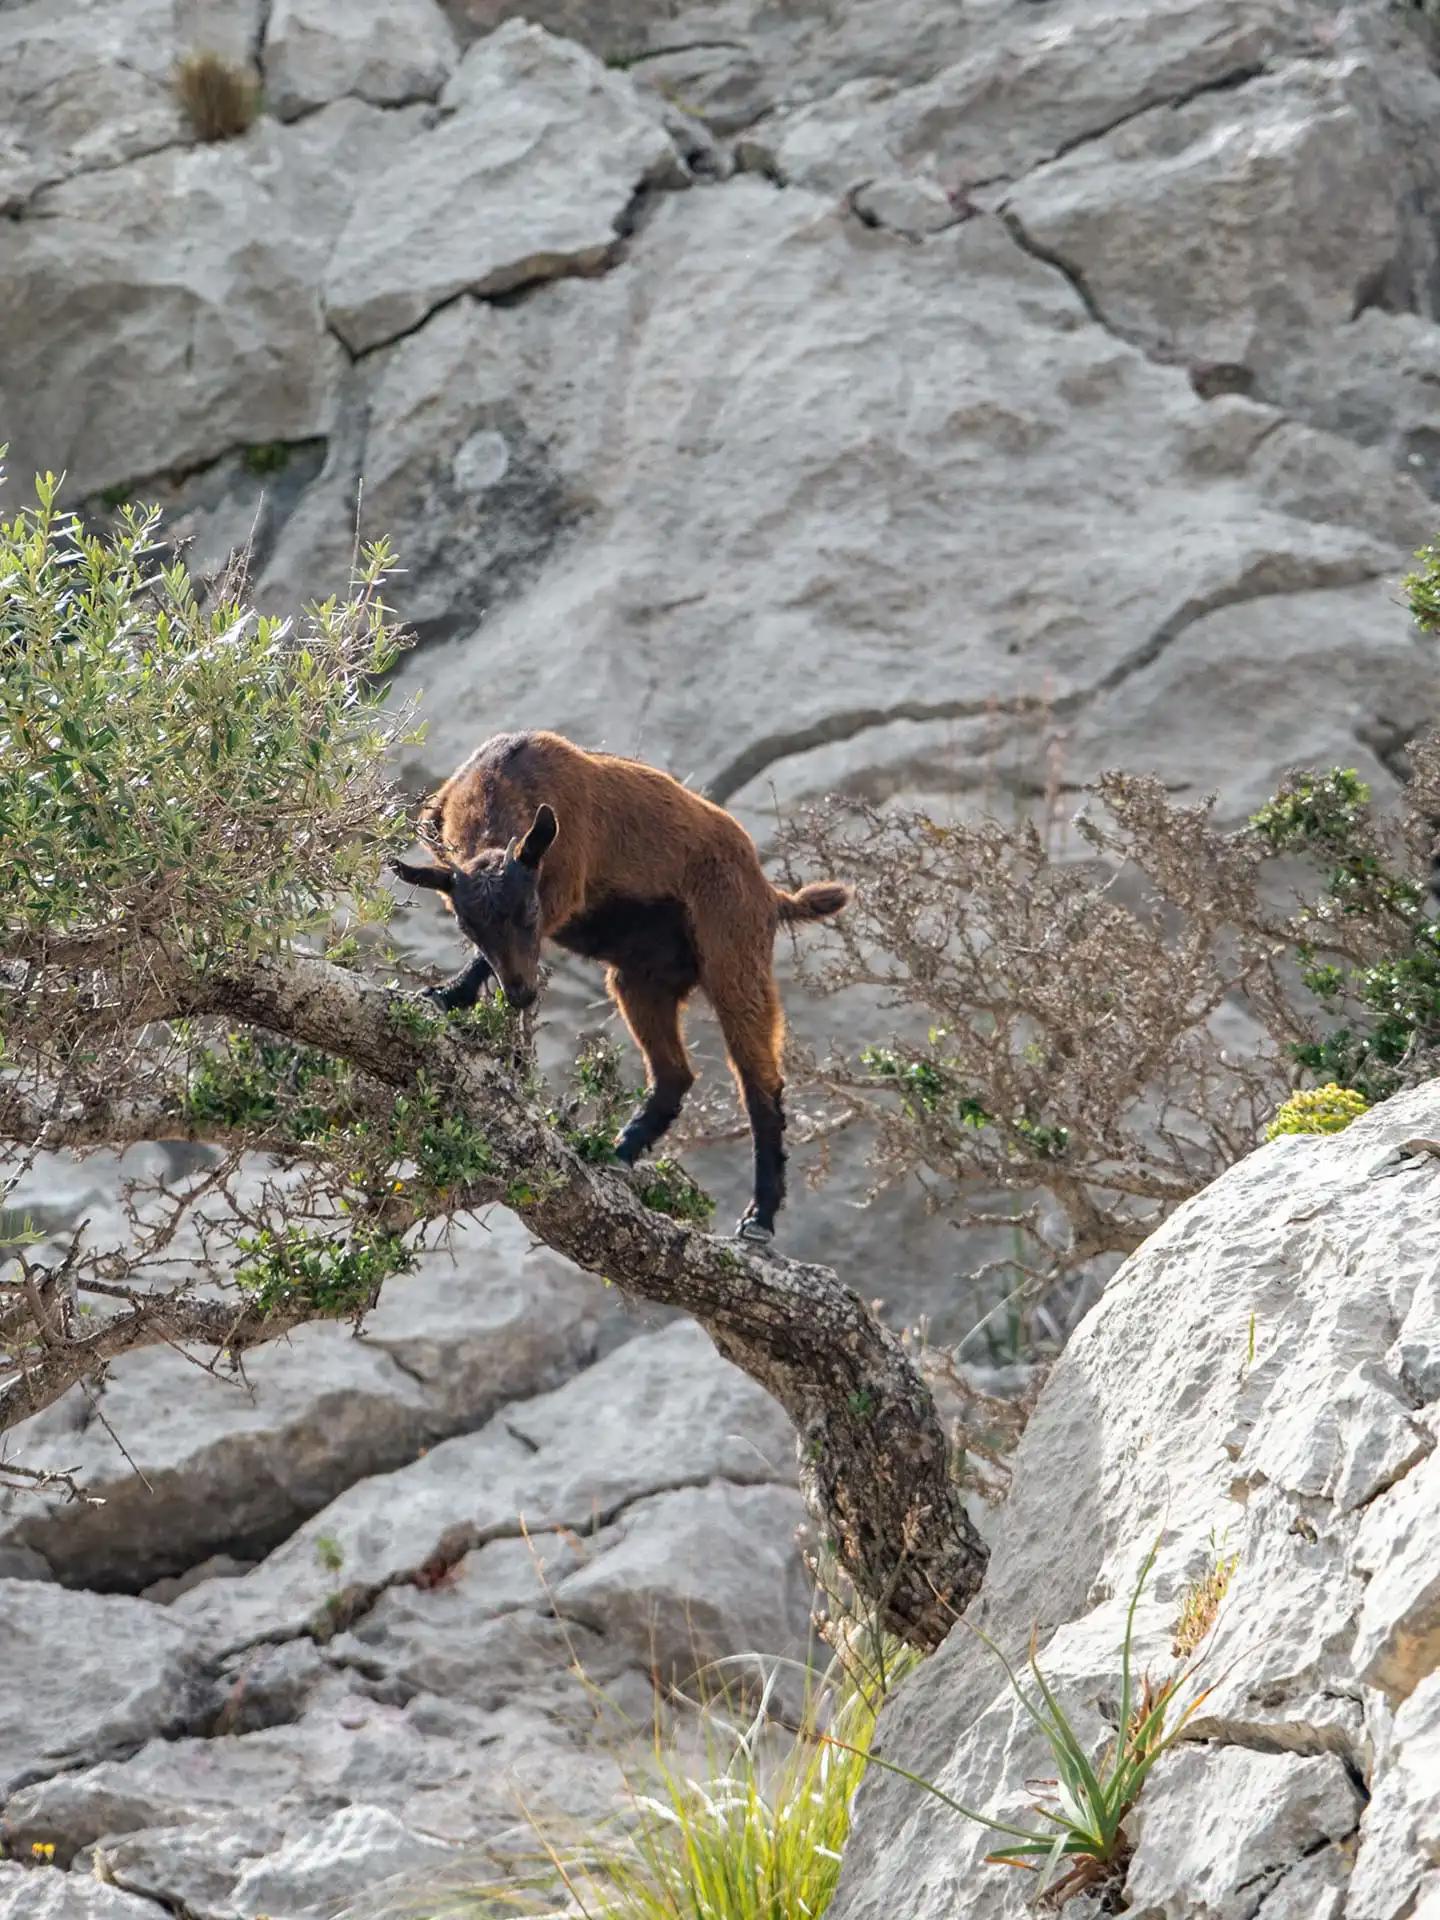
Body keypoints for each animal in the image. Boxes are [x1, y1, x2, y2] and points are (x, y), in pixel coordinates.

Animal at [391, 730, 850, 1241]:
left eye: (530, 912)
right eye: (467, 926)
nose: (522, 994)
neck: (501, 776)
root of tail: (770, 894)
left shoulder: (564, 882)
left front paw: (449, 995)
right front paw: (448, 996)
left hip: (734, 952)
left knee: (759, 1082)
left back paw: (760, 1217)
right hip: (641, 981)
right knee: (674, 1075)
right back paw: (619, 1151)